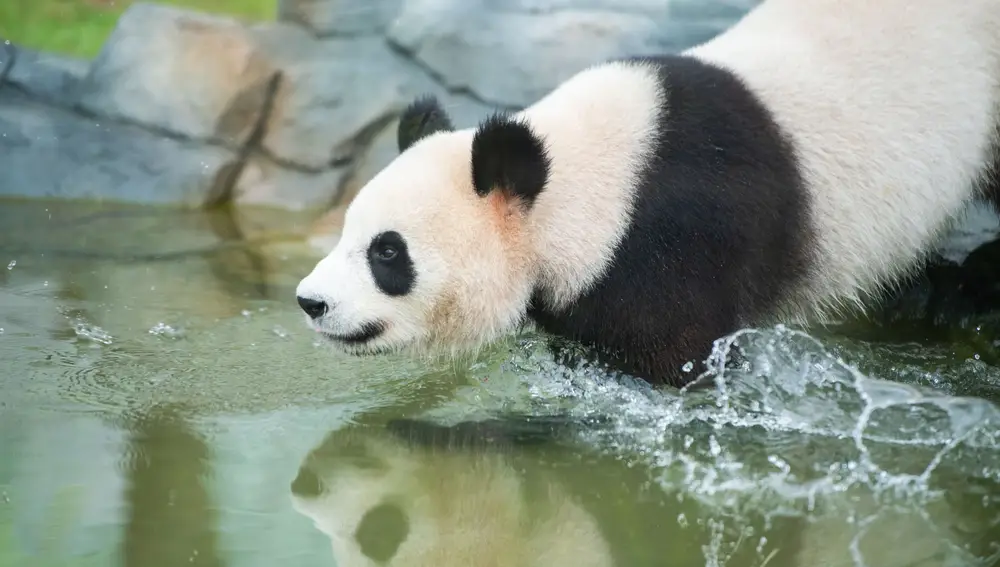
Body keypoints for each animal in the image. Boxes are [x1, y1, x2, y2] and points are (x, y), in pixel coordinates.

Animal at [292, 0, 1000, 386]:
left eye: (388, 253)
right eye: (347, 231)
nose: (310, 302)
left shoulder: (679, 238)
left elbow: (673, 365)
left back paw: (963, 291)